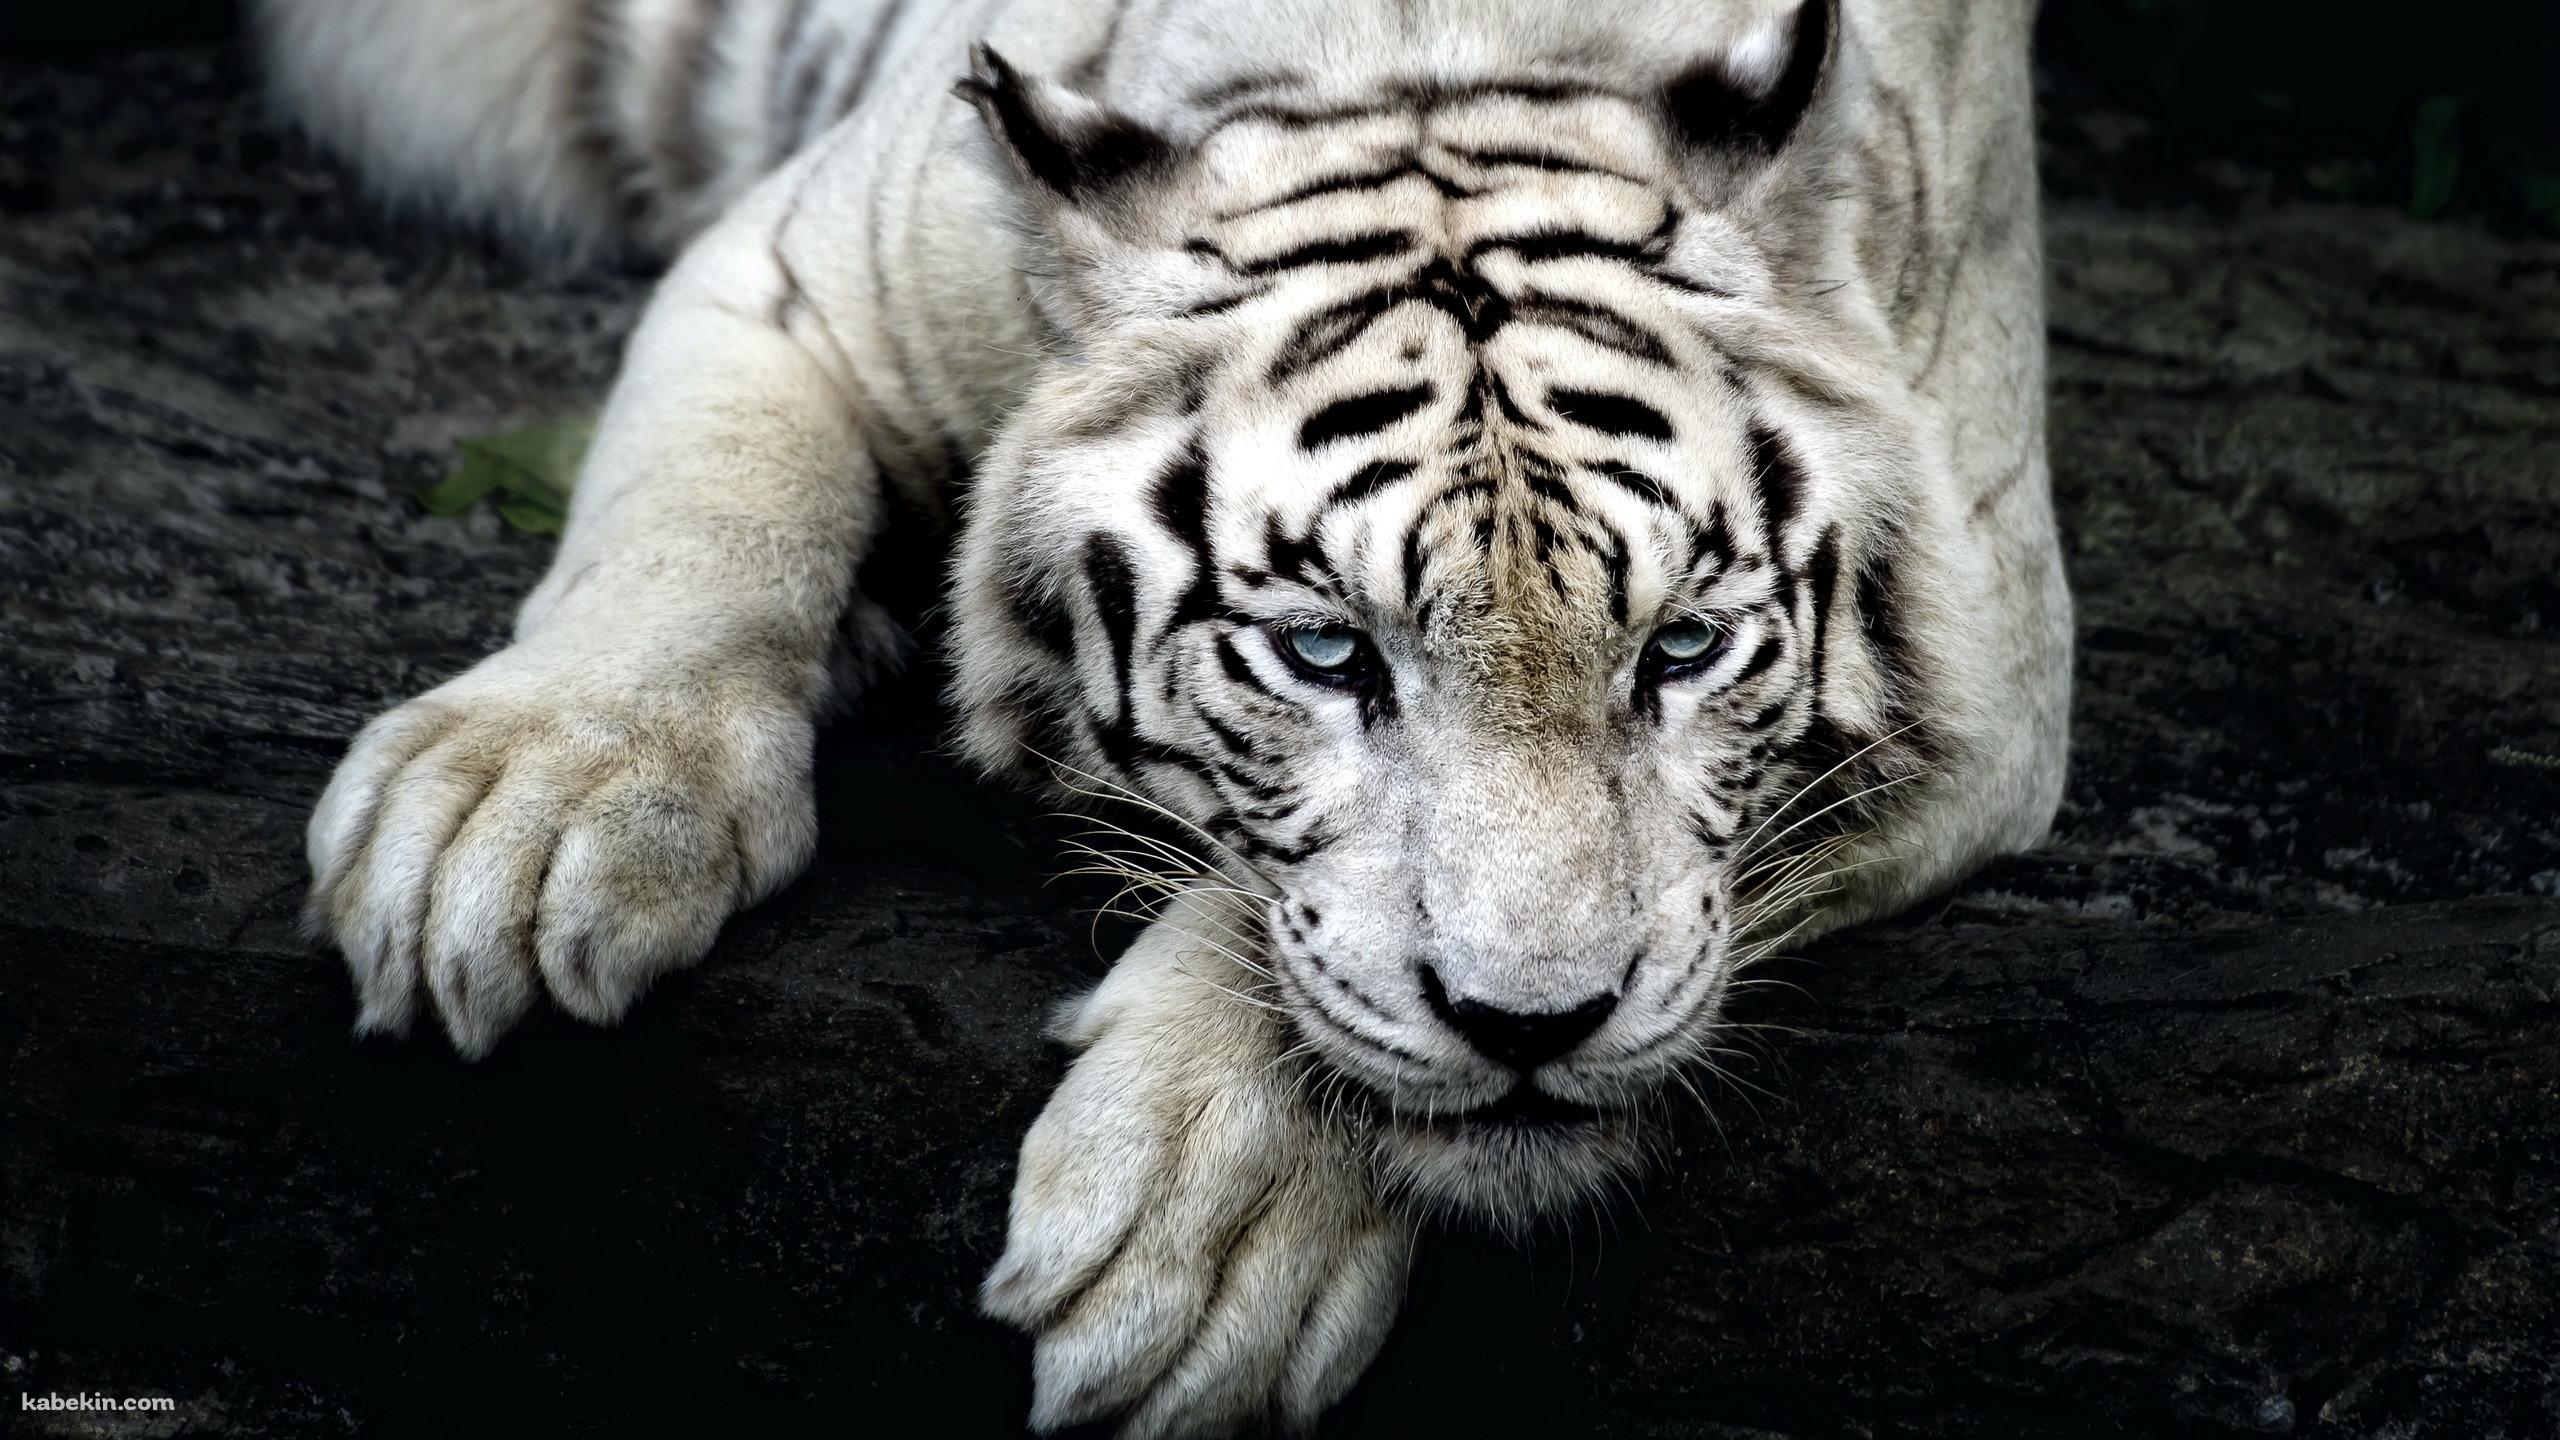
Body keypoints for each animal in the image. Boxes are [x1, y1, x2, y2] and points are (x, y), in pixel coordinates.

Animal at [262, 0, 2069, 1432]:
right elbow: (701, 517)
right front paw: (514, 821)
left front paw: (1201, 1235)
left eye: (1683, 648)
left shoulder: (1994, 675)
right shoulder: (797, 275)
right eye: (1327, 654)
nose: (1536, 1028)